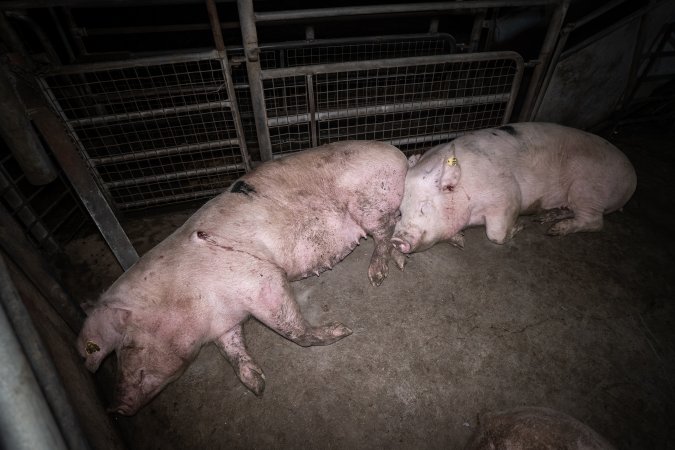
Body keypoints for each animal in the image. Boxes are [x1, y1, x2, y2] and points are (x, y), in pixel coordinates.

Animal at [77, 142, 410, 414]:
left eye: (127, 347)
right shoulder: (224, 324)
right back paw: (401, 261)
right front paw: (257, 386)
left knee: (382, 231)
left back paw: (377, 275)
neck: (186, 297)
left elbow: (291, 328)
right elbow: (232, 350)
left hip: (368, 201)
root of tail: (398, 154)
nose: (114, 408)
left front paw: (342, 331)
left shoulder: (257, 276)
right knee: (394, 226)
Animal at [390, 121, 640, 253]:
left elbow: (496, 234)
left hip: (589, 188)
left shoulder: (508, 196)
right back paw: (547, 219)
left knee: (595, 221)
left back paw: (554, 230)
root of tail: (632, 178)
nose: (396, 240)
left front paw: (520, 228)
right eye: (401, 210)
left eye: (424, 207)